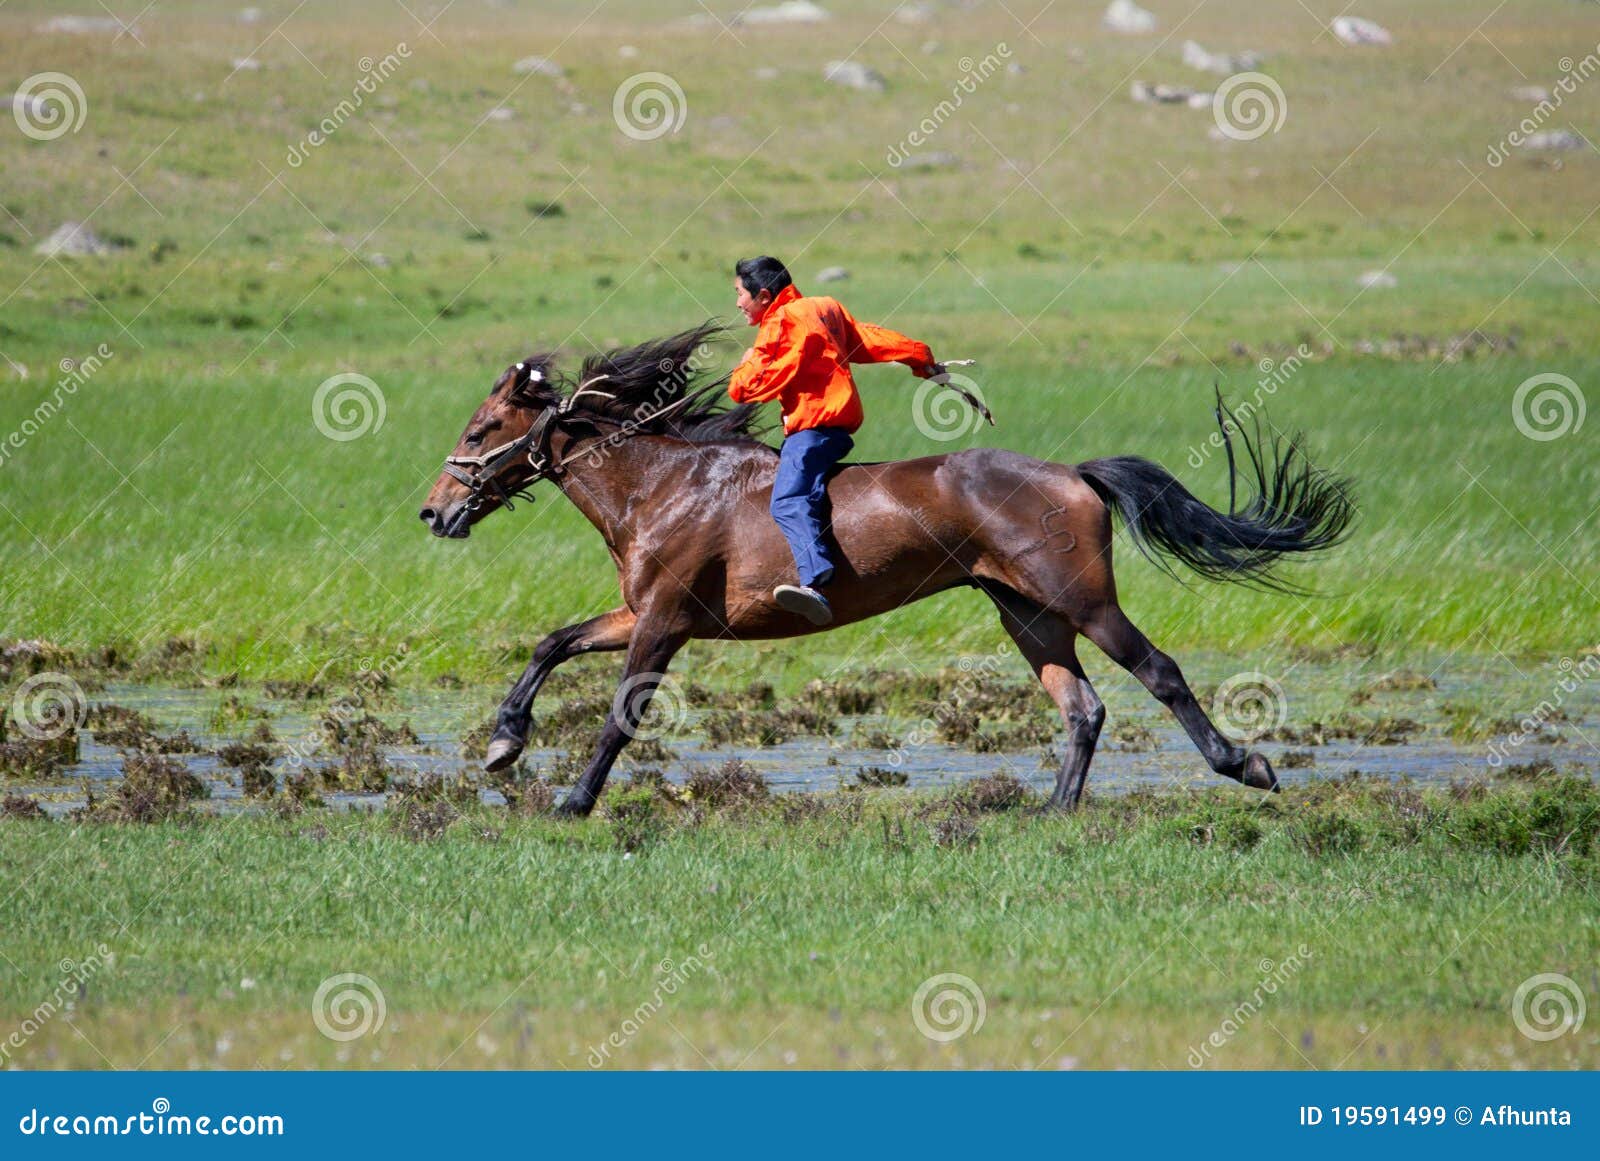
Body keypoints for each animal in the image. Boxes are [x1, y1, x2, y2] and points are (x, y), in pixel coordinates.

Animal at [425, 327, 1350, 818]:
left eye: (478, 428)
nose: (434, 512)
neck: (665, 483)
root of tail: (1075, 474)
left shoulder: (663, 623)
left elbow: (620, 715)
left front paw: (573, 800)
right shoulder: (642, 613)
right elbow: (551, 643)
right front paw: (504, 742)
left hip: (1082, 600)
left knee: (1158, 672)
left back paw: (1246, 765)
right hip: (1025, 613)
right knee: (1082, 707)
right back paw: (1053, 812)